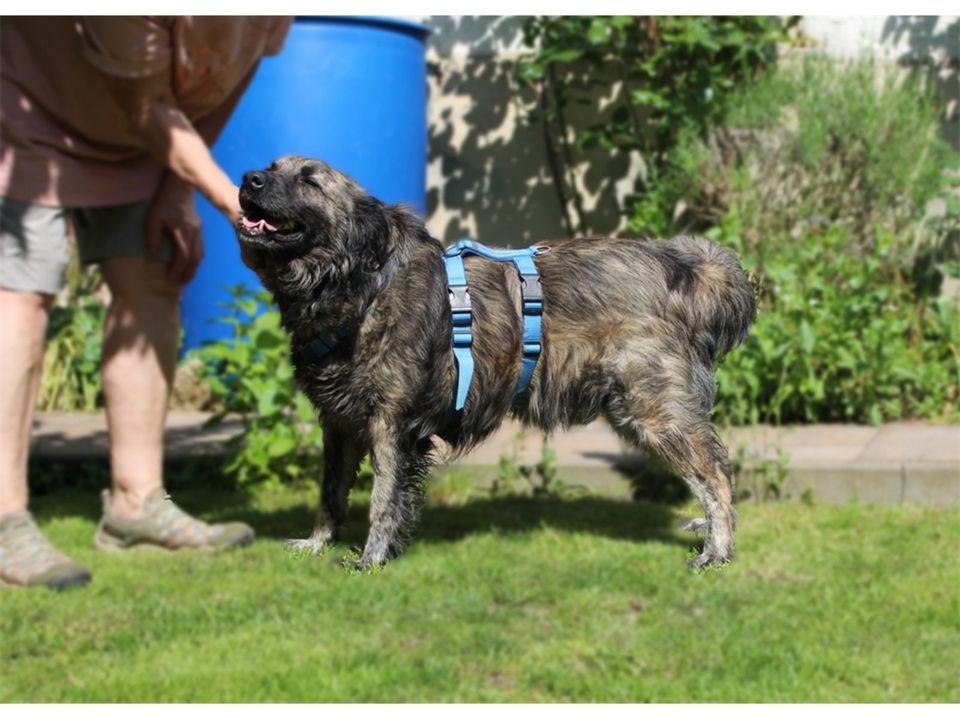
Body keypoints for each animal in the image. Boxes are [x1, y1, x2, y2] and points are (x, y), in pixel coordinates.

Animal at [234, 156, 756, 568]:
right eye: (273, 167)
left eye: (310, 180)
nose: (248, 178)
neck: (361, 283)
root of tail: (681, 269)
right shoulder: (339, 424)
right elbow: (330, 494)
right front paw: (317, 543)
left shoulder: (390, 423)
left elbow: (382, 500)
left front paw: (372, 558)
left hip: (652, 409)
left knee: (715, 474)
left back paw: (717, 549)